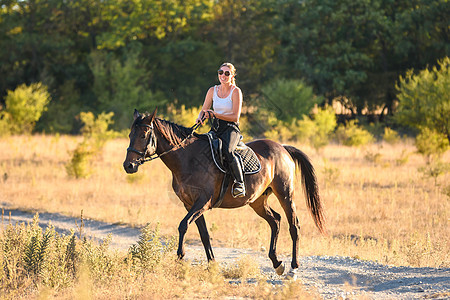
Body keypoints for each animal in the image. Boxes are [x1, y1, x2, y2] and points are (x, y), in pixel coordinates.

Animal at [123, 108, 326, 276]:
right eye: (130, 134)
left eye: (143, 135)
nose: (128, 166)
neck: (187, 158)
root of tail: (283, 148)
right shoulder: (190, 205)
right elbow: (204, 234)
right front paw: (212, 265)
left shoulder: (202, 203)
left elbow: (183, 225)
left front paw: (180, 258)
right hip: (257, 201)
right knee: (275, 221)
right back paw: (277, 263)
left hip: (285, 194)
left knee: (294, 226)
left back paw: (293, 268)